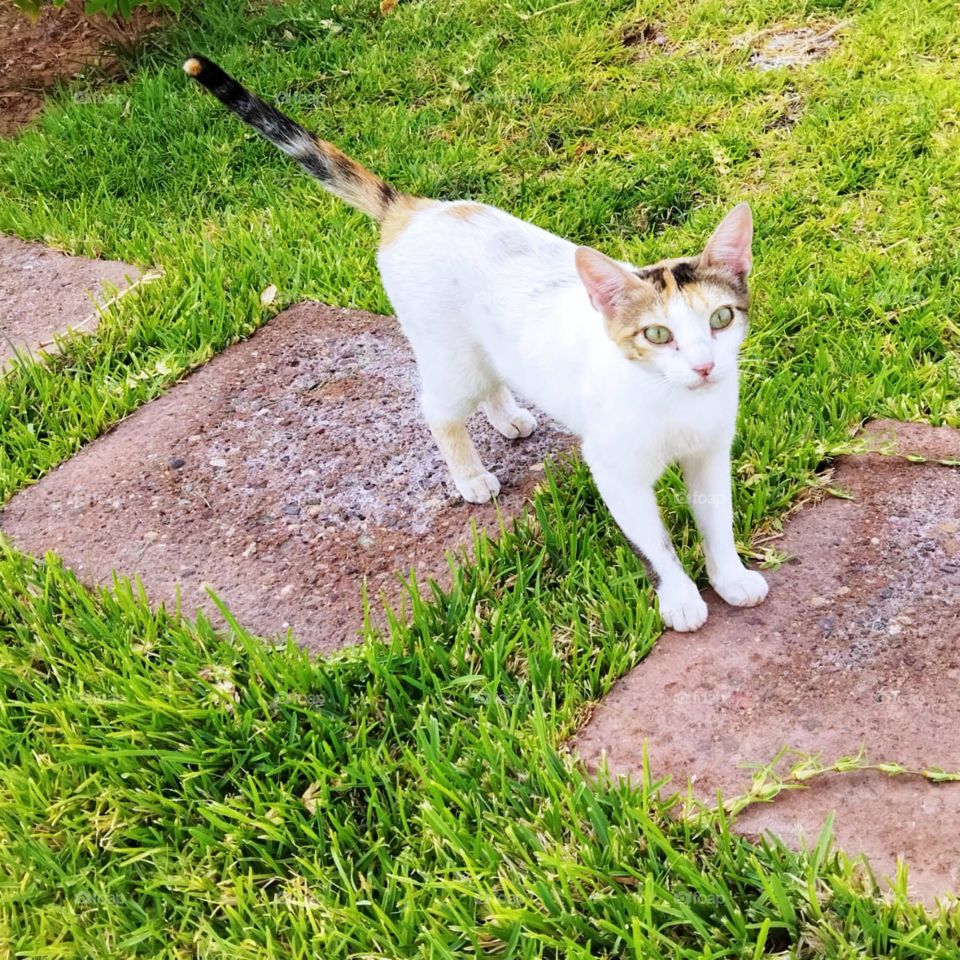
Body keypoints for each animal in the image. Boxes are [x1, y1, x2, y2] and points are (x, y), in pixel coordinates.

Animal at [180, 58, 768, 632]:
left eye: (720, 318)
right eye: (657, 334)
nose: (704, 367)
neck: (674, 403)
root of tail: (416, 208)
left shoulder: (711, 453)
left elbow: (717, 522)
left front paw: (729, 577)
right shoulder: (615, 468)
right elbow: (656, 542)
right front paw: (681, 597)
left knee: (493, 375)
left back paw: (509, 417)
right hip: (448, 356)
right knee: (438, 408)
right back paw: (470, 475)